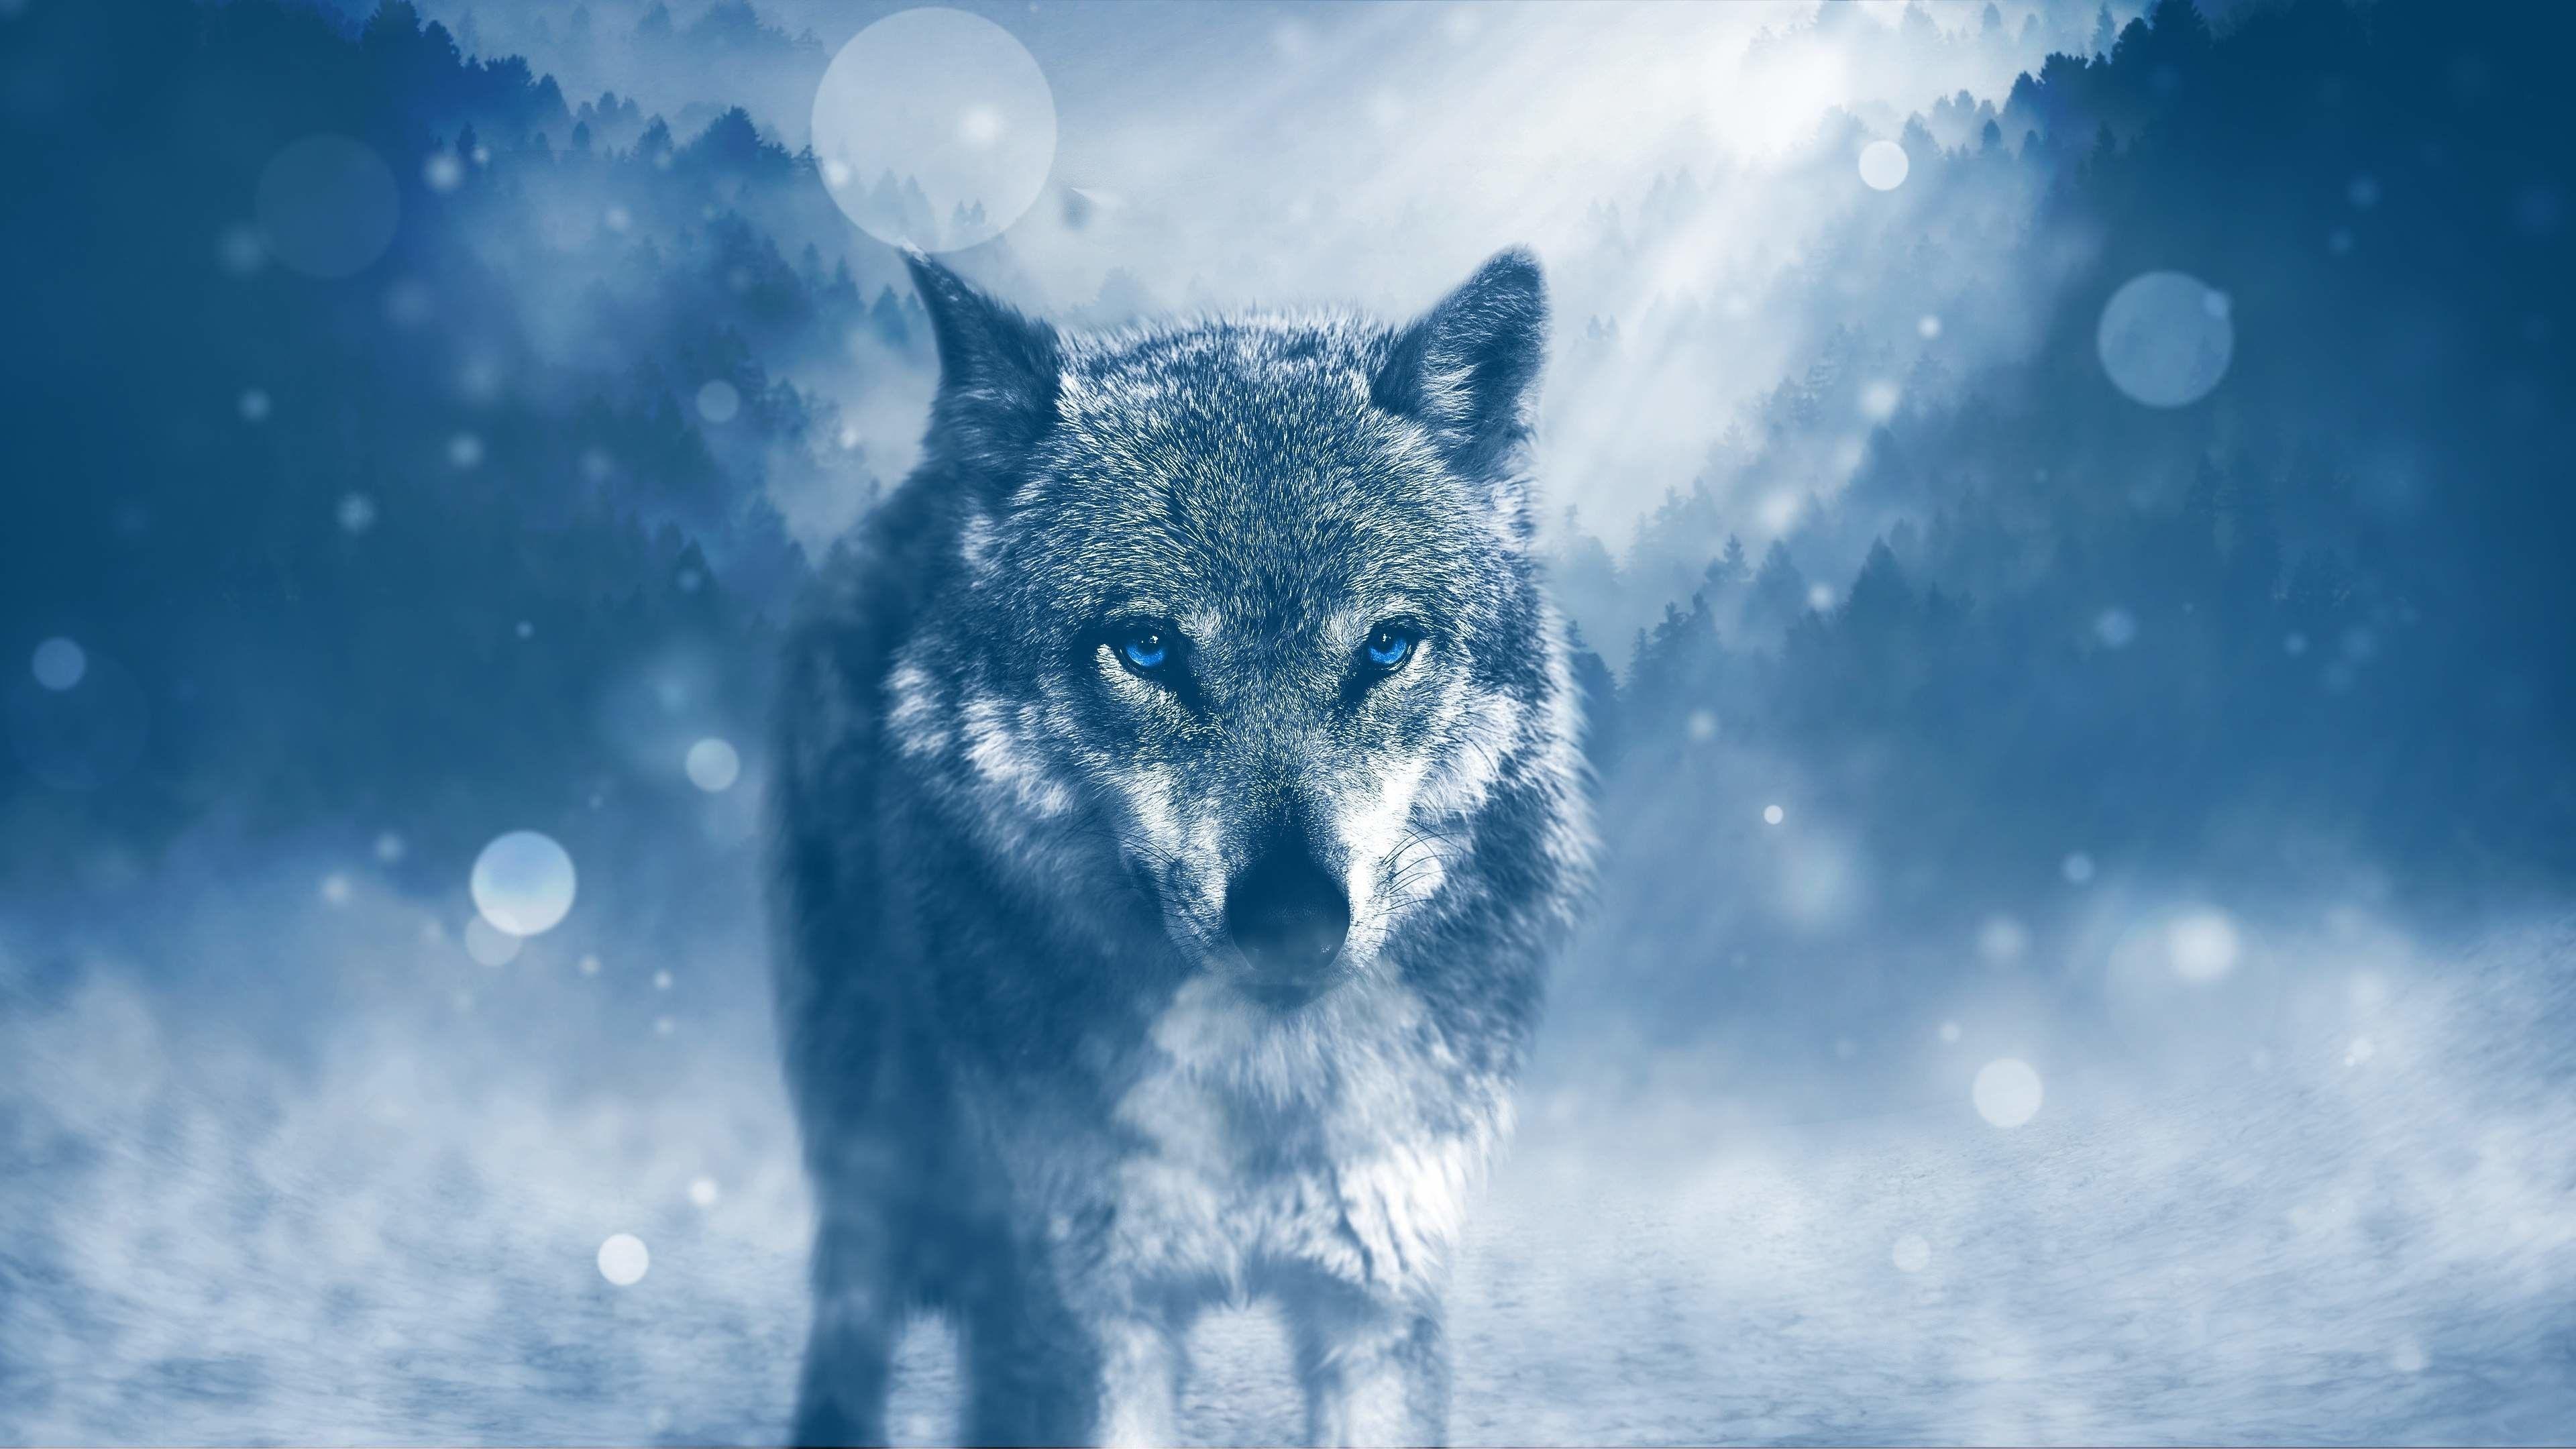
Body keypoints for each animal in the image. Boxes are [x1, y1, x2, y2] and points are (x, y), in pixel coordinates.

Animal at [766, 246, 1593, 1447]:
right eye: (1148, 648)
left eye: (1387, 647)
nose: (1293, 920)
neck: (1260, 1092)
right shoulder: (1084, 1312)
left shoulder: (1378, 1299)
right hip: (871, 1139)